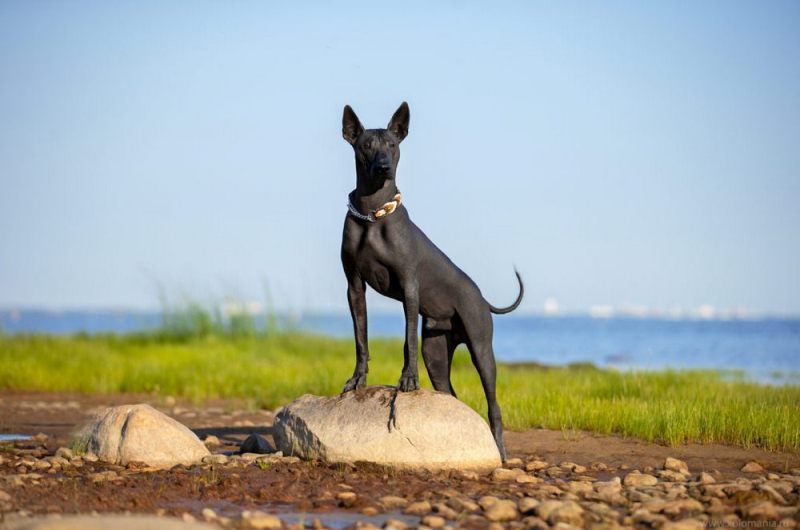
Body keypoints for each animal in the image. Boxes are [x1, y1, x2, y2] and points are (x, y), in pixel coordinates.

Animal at [340, 101, 520, 456]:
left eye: (392, 145)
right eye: (367, 146)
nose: (383, 167)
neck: (372, 215)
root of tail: (482, 298)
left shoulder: (410, 287)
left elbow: (407, 338)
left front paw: (408, 380)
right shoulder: (354, 288)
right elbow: (360, 340)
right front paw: (357, 380)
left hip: (482, 348)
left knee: (493, 405)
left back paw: (500, 451)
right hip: (435, 352)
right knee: (450, 395)